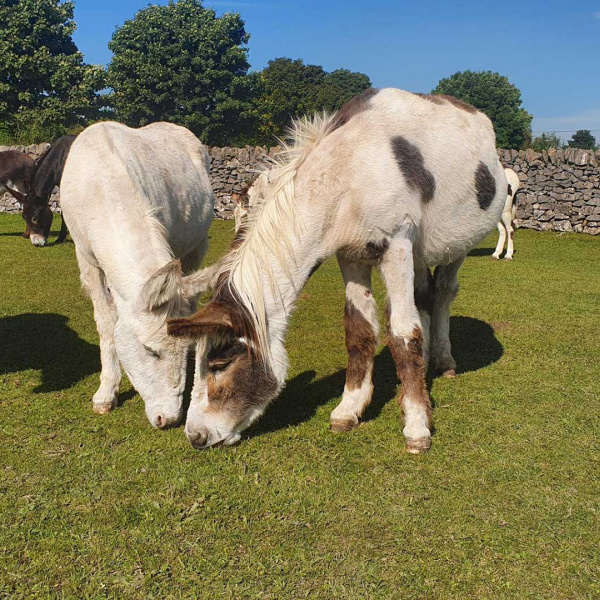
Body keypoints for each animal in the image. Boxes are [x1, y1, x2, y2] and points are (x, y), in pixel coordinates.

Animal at [168, 89, 506, 452]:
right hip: (418, 251)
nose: (195, 436)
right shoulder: (352, 255)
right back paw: (427, 359)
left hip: (457, 242)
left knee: (443, 292)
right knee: (424, 294)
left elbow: (403, 332)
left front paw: (416, 425)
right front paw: (350, 408)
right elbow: (358, 330)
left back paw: (443, 361)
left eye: (219, 363)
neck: (347, 173)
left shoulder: (396, 246)